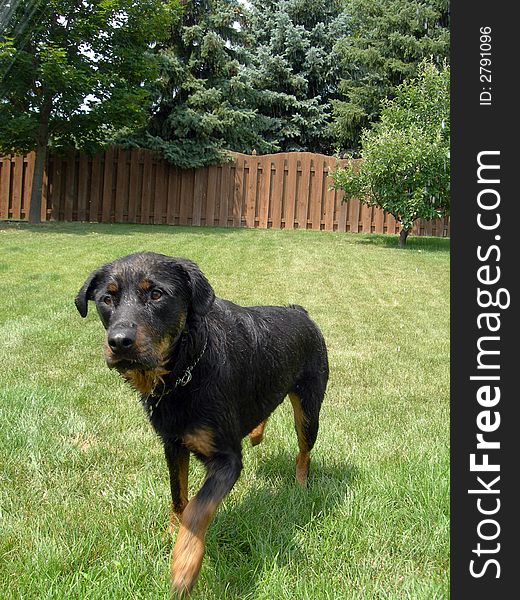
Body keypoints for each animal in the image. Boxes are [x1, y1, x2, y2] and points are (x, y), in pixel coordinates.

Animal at [75, 252, 328, 596]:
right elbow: (178, 495)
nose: (119, 342)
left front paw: (184, 564)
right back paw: (256, 431)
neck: (184, 374)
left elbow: (197, 507)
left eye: (157, 294)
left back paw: (300, 485)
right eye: (106, 299)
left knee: (304, 451)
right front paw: (171, 535)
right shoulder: (172, 444)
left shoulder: (227, 460)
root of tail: (300, 311)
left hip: (309, 410)